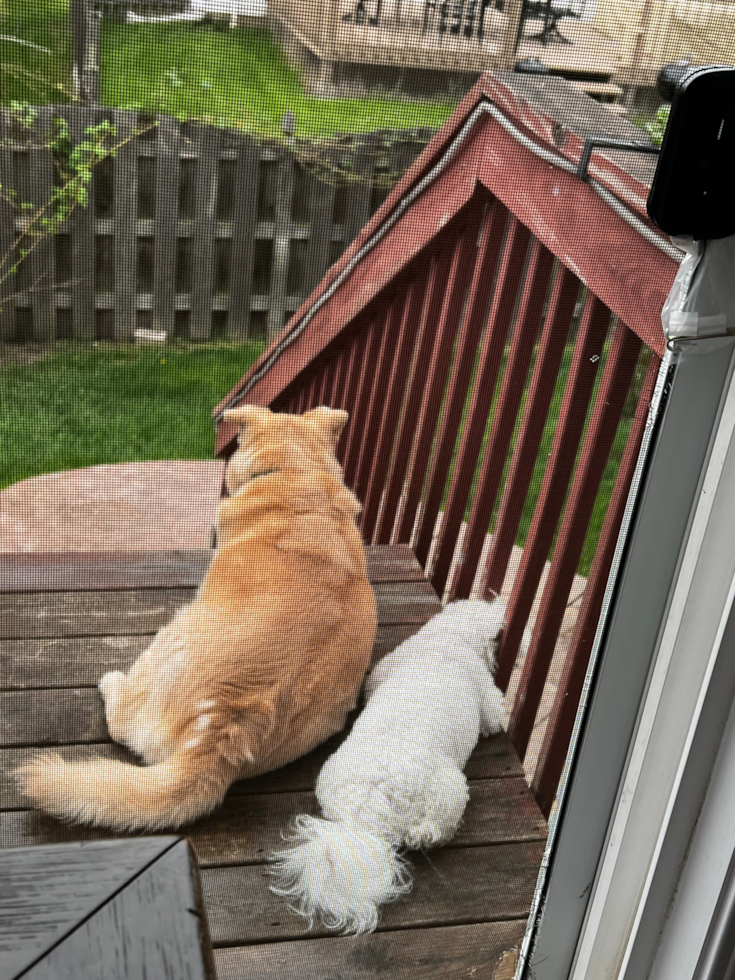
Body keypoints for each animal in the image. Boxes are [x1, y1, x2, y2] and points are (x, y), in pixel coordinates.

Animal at [268, 596, 506, 936]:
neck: (446, 638)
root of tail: (364, 813)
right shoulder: (488, 700)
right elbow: (495, 713)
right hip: (449, 790)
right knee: (432, 828)